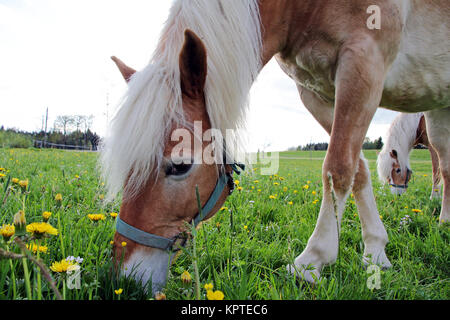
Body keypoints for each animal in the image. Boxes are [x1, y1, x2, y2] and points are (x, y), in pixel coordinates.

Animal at [102, 0, 450, 292]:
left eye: (180, 166)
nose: (126, 278)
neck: (301, 9)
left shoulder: (364, 63)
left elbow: (338, 167)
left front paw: (311, 261)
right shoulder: (317, 92)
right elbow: (357, 168)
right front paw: (376, 251)